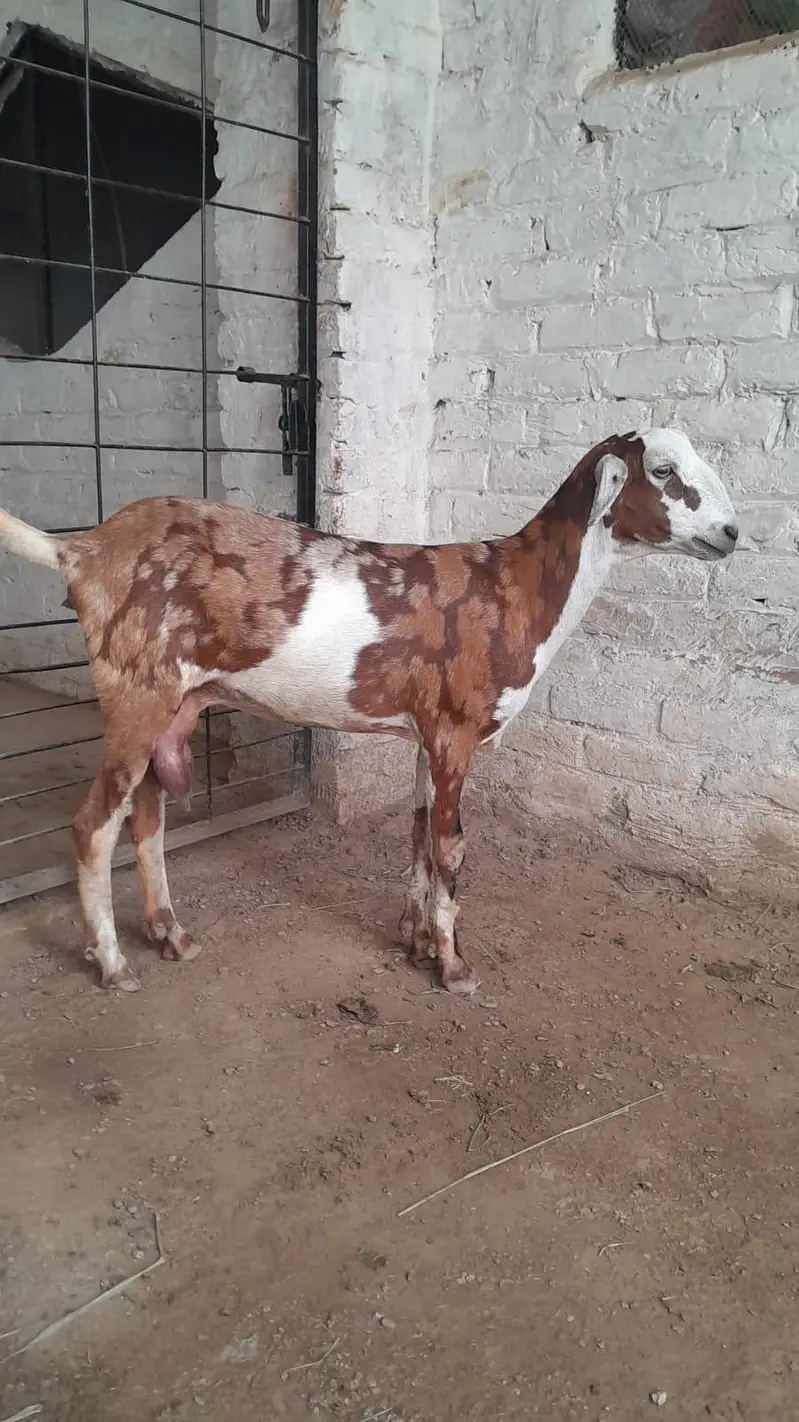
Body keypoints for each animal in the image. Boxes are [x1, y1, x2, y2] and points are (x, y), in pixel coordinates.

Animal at [0, 428, 737, 994]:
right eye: (663, 470)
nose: (731, 532)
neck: (517, 590)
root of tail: (83, 549)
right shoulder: (455, 731)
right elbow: (451, 846)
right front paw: (454, 967)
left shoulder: (426, 735)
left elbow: (416, 836)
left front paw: (416, 941)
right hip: (136, 691)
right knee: (93, 825)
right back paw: (115, 965)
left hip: (173, 704)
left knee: (146, 817)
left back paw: (172, 936)